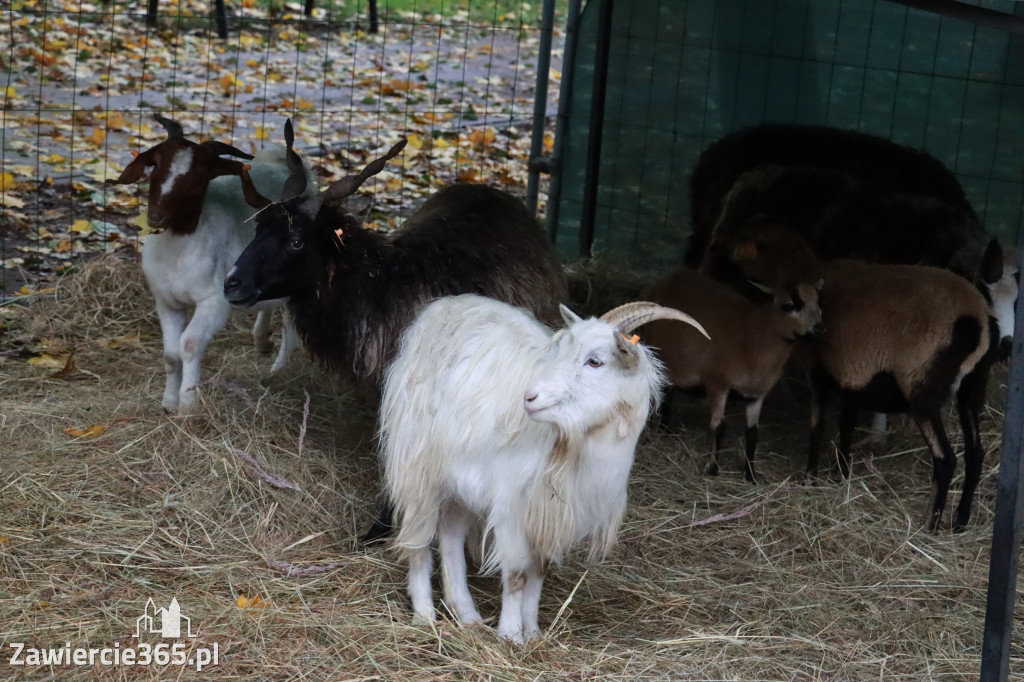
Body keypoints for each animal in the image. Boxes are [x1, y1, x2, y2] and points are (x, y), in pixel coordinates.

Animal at [110, 115, 313, 409]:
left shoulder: (213, 301)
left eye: (199, 180)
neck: (178, 250)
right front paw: (169, 402)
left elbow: (189, 344)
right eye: (156, 166)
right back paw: (262, 339)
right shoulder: (166, 302)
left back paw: (278, 371)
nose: (156, 218)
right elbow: (171, 354)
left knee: (291, 329)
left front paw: (188, 402)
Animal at [380, 292, 708, 643]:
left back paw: (467, 614)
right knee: (418, 538)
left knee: (451, 532)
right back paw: (425, 615)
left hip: (458, 479)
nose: (530, 397)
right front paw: (511, 635)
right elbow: (516, 576)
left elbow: (538, 575)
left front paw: (533, 632)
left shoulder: (549, 517)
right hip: (417, 463)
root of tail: (444, 306)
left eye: (595, 361)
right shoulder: (512, 506)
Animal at [647, 268, 823, 481]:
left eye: (819, 303)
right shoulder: (717, 384)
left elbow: (752, 433)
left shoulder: (756, 394)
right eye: (789, 305)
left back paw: (666, 431)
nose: (820, 329)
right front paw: (712, 469)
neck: (755, 337)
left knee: (668, 393)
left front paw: (751, 475)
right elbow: (718, 426)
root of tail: (671, 275)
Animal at [802, 258, 995, 528]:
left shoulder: (816, 367)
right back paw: (960, 521)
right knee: (975, 454)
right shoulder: (852, 380)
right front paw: (841, 474)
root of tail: (977, 320)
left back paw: (930, 525)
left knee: (945, 459)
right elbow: (846, 423)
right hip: (974, 385)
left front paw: (810, 478)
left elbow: (816, 425)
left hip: (922, 390)